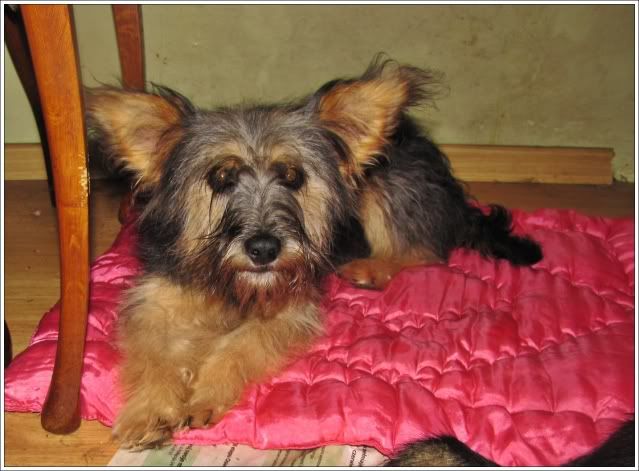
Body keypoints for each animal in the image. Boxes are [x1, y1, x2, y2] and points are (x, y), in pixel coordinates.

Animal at [86, 55, 542, 450]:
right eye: (221, 178)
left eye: (293, 176)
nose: (264, 249)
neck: (232, 284)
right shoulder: (153, 301)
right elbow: (153, 355)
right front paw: (149, 410)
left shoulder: (290, 311)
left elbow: (239, 346)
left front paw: (205, 393)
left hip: (387, 191)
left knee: (424, 250)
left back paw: (370, 268)